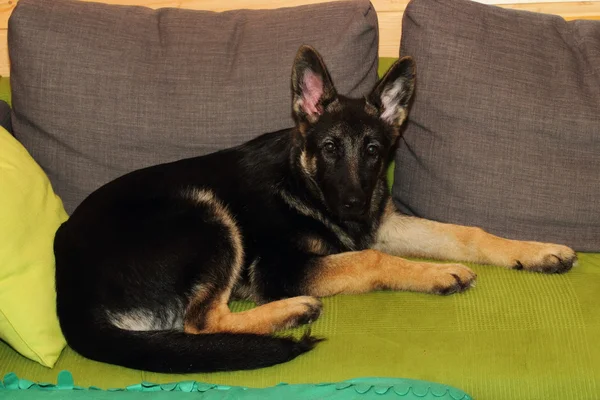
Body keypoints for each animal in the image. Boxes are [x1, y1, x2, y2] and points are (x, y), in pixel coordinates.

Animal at [55, 45, 576, 374]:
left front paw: (538, 251)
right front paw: (437, 274)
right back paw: (293, 310)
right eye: (328, 149)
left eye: (373, 151)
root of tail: (69, 293)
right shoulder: (282, 267)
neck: (300, 182)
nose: (352, 207)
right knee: (200, 321)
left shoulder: (382, 224)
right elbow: (371, 258)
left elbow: (466, 233)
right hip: (207, 215)